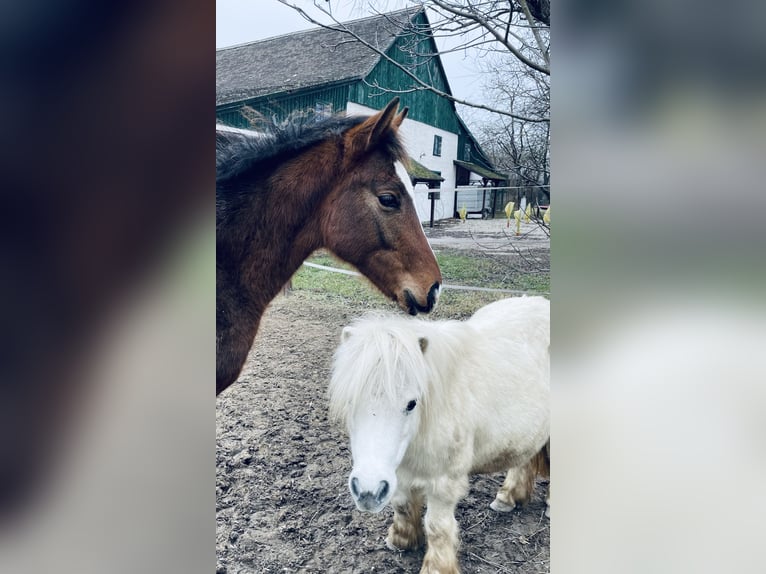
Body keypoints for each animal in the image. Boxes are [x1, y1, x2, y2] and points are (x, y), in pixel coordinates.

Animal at [330, 296, 552, 574]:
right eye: (350, 401)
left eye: (412, 403)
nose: (368, 492)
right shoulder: (397, 472)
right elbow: (402, 505)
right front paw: (401, 540)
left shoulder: (444, 483)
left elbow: (437, 527)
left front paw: (436, 567)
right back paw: (508, 498)